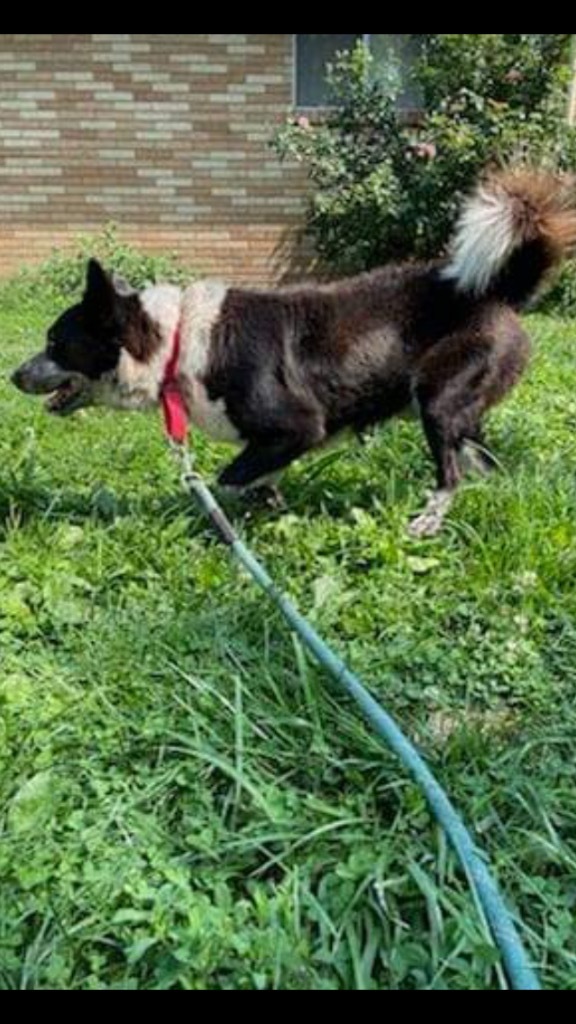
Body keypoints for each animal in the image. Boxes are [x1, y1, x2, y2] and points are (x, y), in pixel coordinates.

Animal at [11, 167, 573, 536]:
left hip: (437, 400)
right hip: (458, 416)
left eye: (55, 343)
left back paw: (426, 521)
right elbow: (260, 477)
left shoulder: (299, 426)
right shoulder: (275, 442)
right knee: (484, 467)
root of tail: (494, 292)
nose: (14, 376)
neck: (176, 341)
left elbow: (229, 479)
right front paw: (271, 506)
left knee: (450, 474)